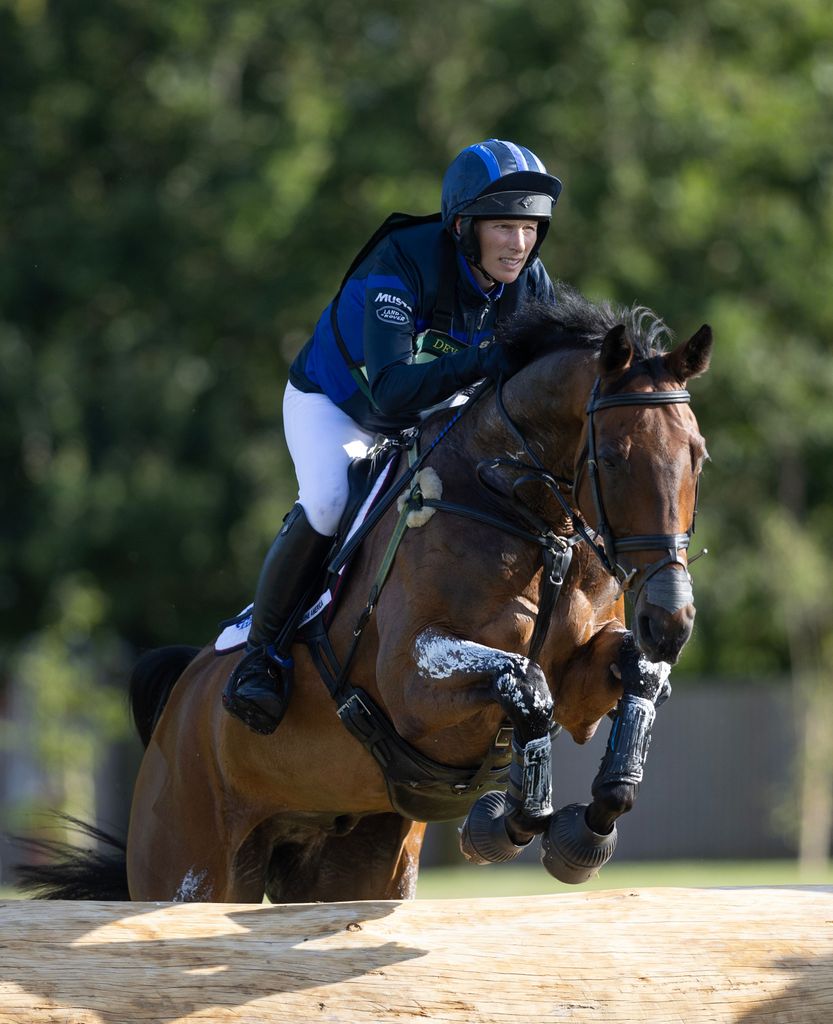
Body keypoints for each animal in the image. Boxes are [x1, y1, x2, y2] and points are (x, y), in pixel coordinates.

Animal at [19, 288, 709, 905]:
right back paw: (256, 683)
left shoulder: (582, 689)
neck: (534, 522)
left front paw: (589, 826)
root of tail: (178, 706)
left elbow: (633, 677)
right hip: (191, 870)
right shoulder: (412, 682)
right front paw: (502, 825)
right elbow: (524, 685)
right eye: (613, 459)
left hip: (353, 865)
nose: (670, 621)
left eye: (698, 457)